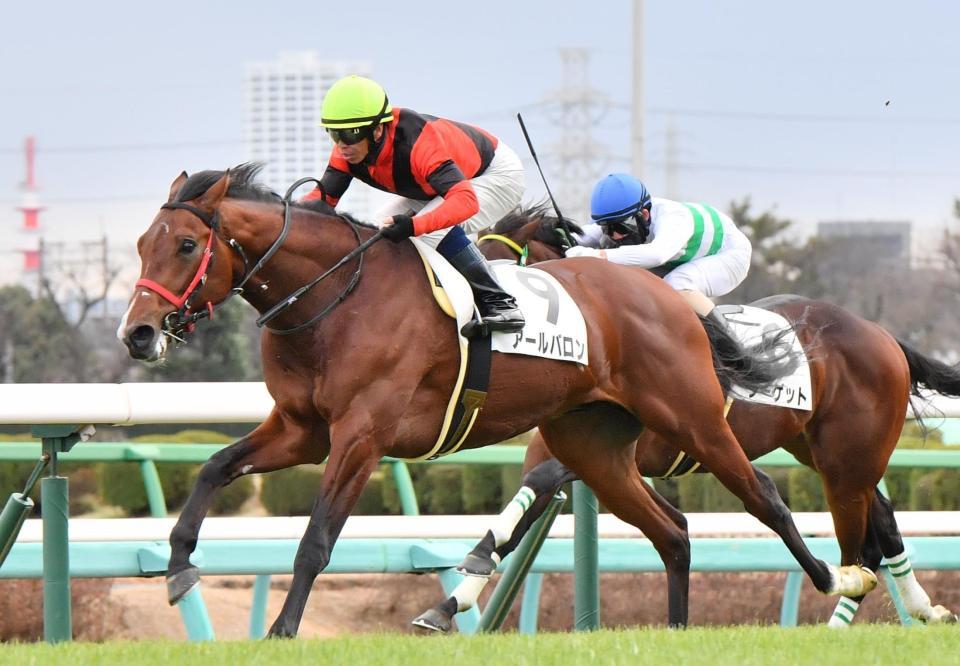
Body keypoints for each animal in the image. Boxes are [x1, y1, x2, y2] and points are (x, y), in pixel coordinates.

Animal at [118, 164, 875, 637]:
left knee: (765, 494)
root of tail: (665, 297)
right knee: (673, 530)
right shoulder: (301, 428)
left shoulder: (361, 436)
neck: (336, 297)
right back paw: (678, 626)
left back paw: (839, 578)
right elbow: (215, 467)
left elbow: (316, 539)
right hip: (594, 447)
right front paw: (179, 567)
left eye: (186, 244)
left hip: (692, 419)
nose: (137, 333)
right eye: (141, 242)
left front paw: (281, 630)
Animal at [425, 209, 960, 629]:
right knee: (884, 519)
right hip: (820, 449)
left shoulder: (604, 449)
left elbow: (535, 492)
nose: (481, 323)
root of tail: (882, 334)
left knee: (867, 537)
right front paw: (450, 603)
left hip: (848, 455)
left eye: (498, 268)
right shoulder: (577, 449)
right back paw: (921, 609)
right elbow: (519, 517)